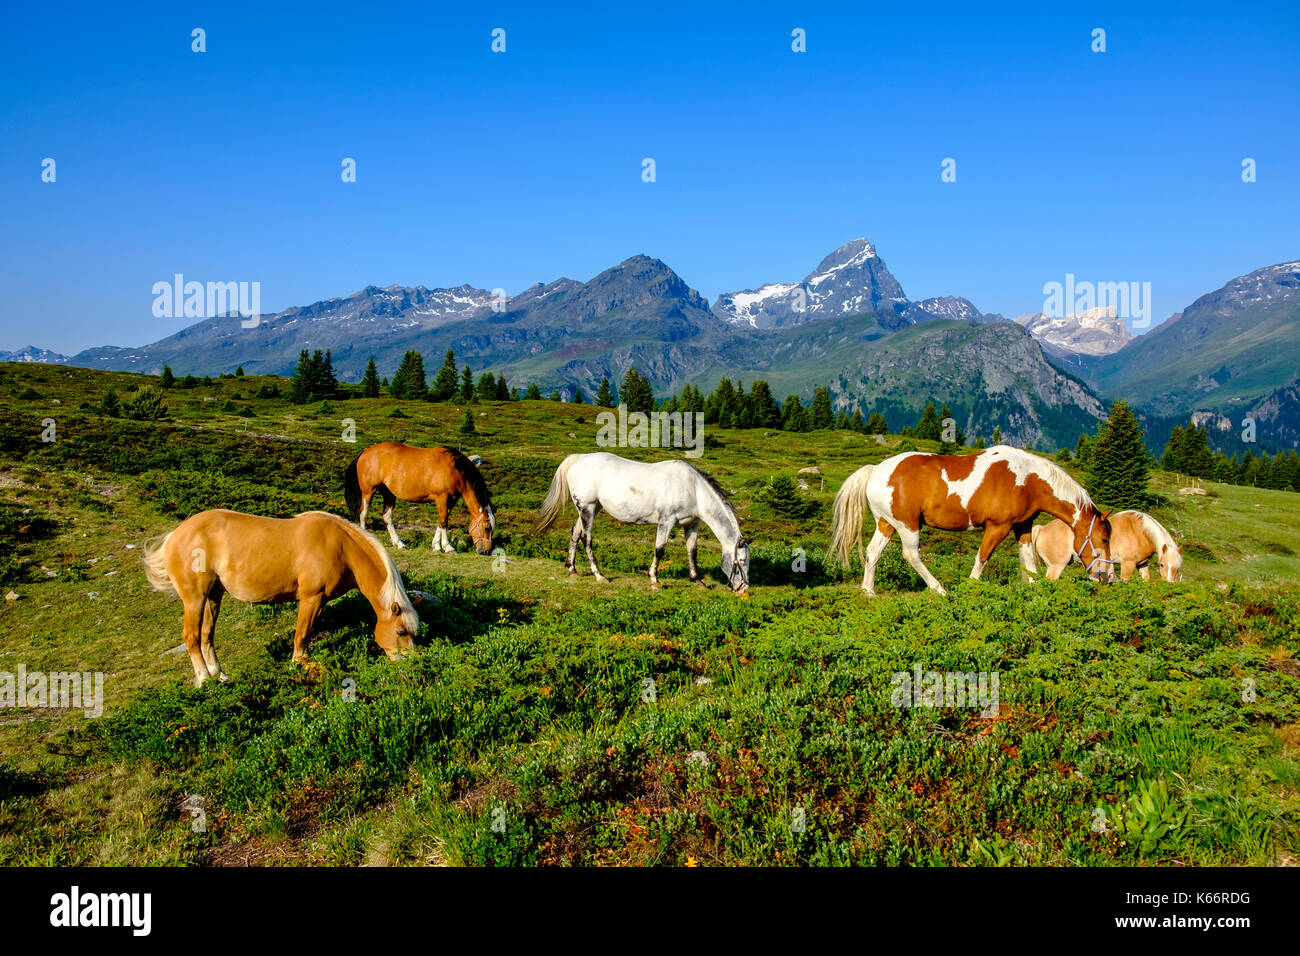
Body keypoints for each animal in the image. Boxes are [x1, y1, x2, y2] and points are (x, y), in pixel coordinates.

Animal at [143, 509, 422, 686]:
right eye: (400, 632)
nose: (411, 664)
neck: (341, 547)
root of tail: (175, 536)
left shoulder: (321, 602)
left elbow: (308, 633)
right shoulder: (311, 598)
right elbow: (301, 634)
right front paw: (297, 666)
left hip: (213, 596)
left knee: (205, 636)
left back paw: (220, 675)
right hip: (195, 598)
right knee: (190, 636)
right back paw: (203, 679)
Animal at [344, 442, 495, 554]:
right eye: (487, 527)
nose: (486, 551)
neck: (455, 468)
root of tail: (365, 451)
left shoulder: (451, 500)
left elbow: (441, 521)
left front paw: (436, 546)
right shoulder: (442, 497)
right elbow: (443, 522)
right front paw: (447, 547)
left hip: (388, 493)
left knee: (387, 517)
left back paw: (399, 543)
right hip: (368, 492)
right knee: (363, 514)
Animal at [532, 452, 750, 592]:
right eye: (740, 561)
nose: (743, 588)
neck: (693, 488)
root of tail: (578, 459)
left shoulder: (692, 524)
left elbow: (692, 551)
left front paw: (697, 580)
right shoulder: (666, 521)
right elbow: (660, 549)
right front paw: (654, 579)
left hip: (590, 508)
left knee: (576, 533)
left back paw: (572, 569)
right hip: (587, 508)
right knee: (587, 539)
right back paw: (599, 575)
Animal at [829, 444, 1112, 596]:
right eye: (1105, 538)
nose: (1106, 577)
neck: (1027, 479)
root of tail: (876, 470)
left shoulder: (1022, 526)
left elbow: (1029, 561)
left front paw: (1033, 589)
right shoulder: (998, 527)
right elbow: (982, 557)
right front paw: (971, 588)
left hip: (886, 524)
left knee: (872, 552)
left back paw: (868, 591)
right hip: (907, 525)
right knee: (911, 555)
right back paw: (939, 589)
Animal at [1033, 510, 1182, 582]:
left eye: (1178, 568)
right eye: (1162, 565)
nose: (1169, 583)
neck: (1141, 531)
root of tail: (1042, 528)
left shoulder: (1142, 564)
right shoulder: (1128, 565)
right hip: (1057, 566)